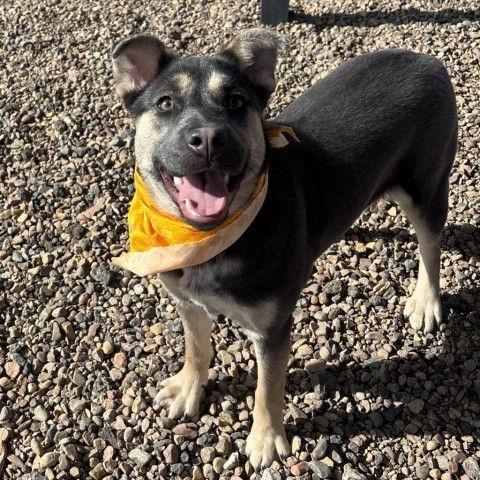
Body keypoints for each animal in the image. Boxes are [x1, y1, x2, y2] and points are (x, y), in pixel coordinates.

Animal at [111, 29, 458, 468]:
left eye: (236, 102)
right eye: (165, 103)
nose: (208, 139)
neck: (208, 240)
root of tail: (428, 61)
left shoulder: (273, 327)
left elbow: (268, 388)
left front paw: (265, 440)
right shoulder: (187, 299)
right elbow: (196, 348)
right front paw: (188, 388)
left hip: (425, 185)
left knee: (431, 244)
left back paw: (426, 301)